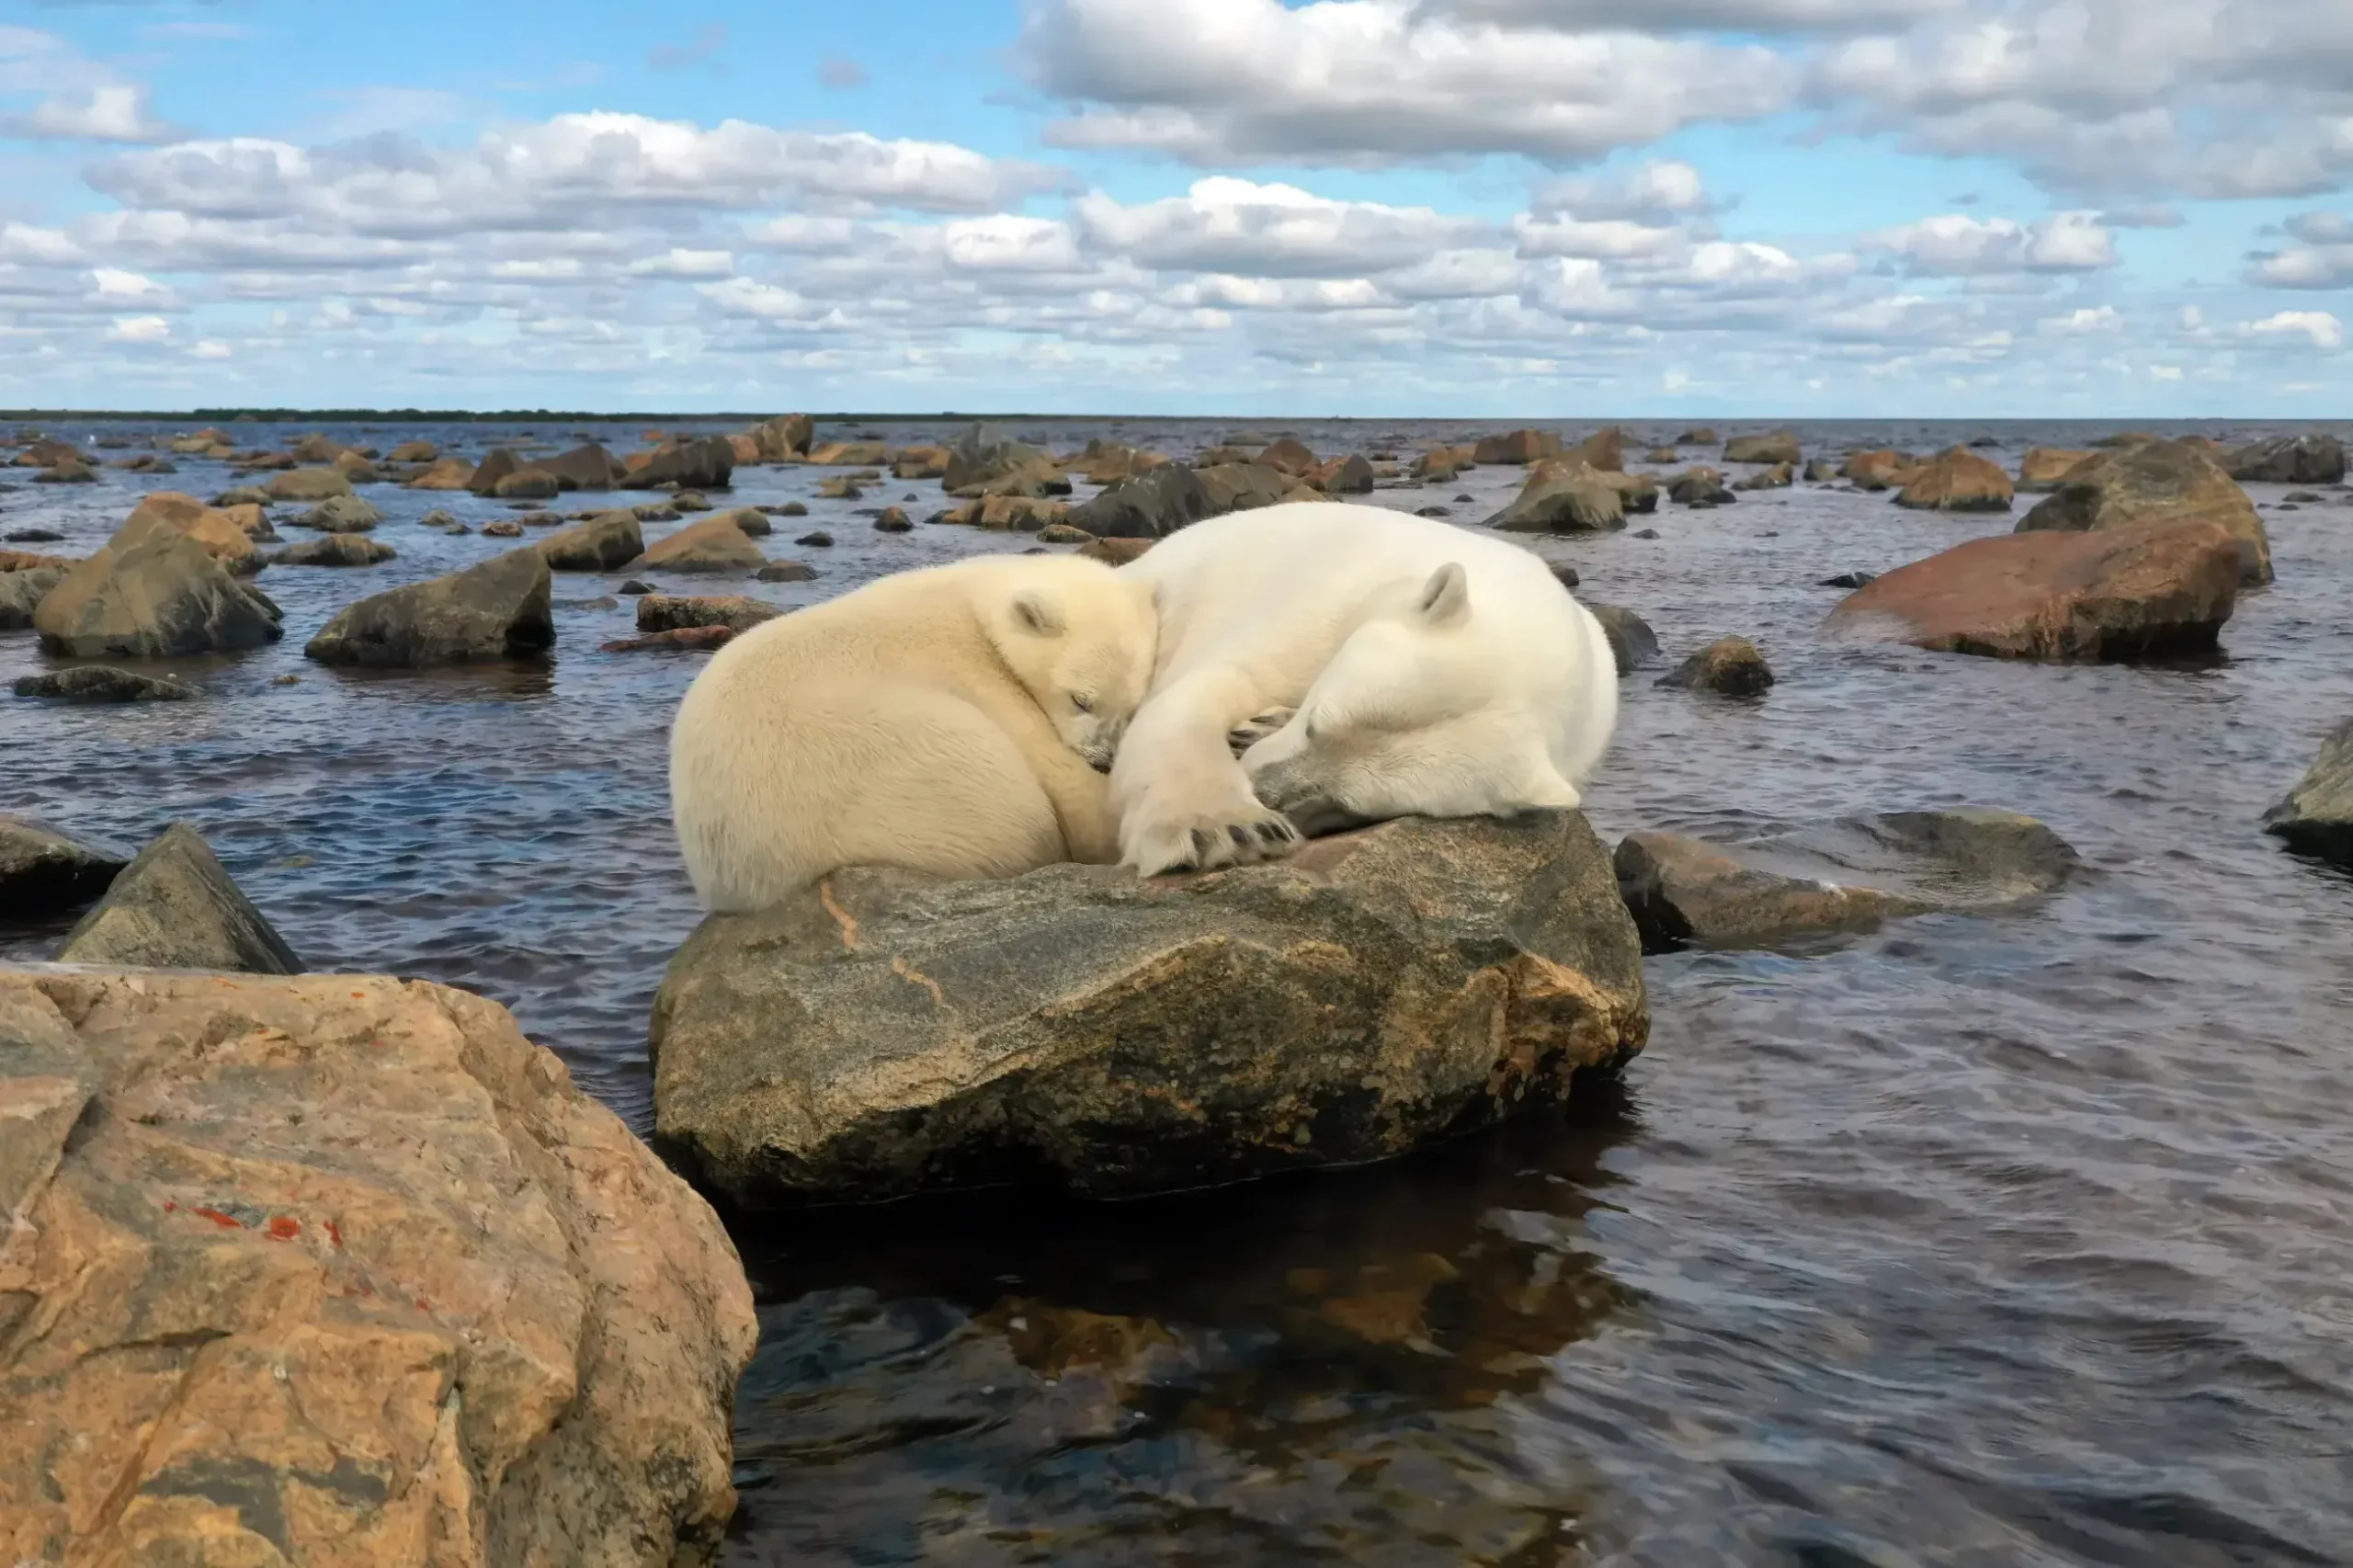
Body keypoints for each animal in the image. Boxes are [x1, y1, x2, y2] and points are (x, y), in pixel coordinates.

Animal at [1109, 502, 1618, 876]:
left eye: (1350, 805)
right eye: (1316, 723)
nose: (1264, 790)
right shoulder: (1324, 602)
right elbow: (1213, 686)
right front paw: (1228, 831)